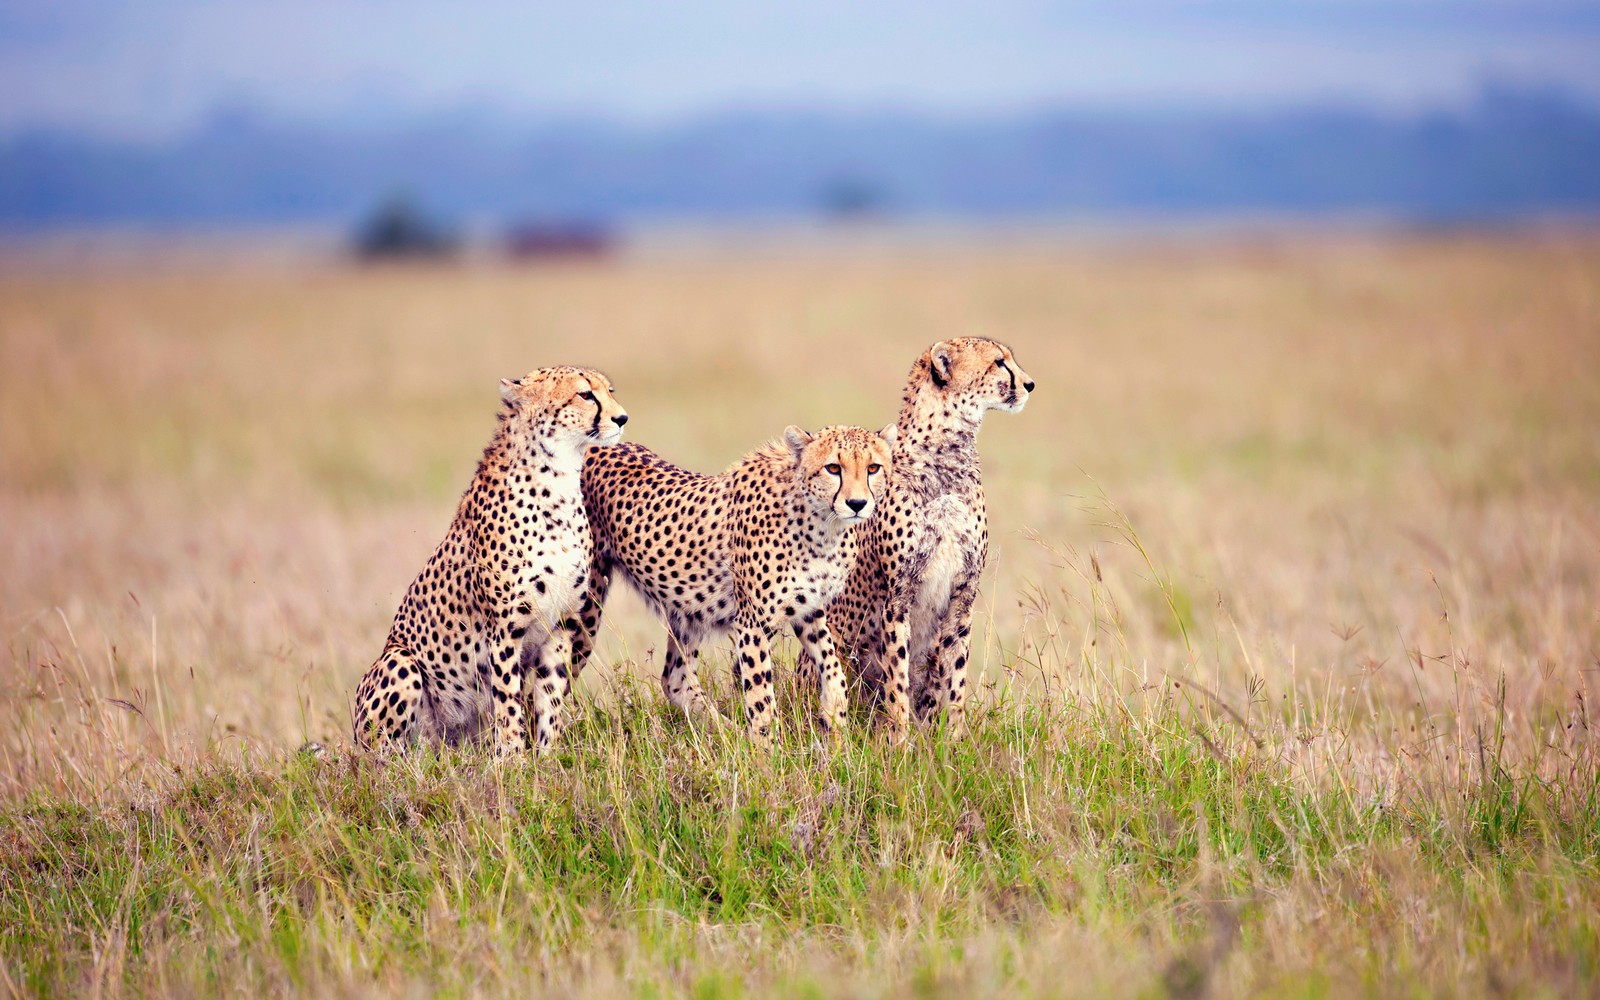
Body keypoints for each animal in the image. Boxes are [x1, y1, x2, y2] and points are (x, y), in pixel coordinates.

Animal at [353, 363, 627, 752]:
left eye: (609, 391)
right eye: (585, 394)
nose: (622, 418)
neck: (558, 483)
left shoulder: (560, 625)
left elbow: (550, 697)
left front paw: (548, 755)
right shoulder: (506, 629)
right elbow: (509, 702)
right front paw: (513, 759)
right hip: (399, 662)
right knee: (384, 754)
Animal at [569, 422, 902, 742]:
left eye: (873, 468)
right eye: (833, 467)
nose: (857, 503)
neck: (821, 525)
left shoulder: (809, 609)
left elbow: (833, 667)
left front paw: (834, 719)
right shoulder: (753, 623)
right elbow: (761, 699)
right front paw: (767, 753)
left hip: (688, 609)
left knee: (675, 679)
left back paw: (727, 732)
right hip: (587, 603)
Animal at [800, 339, 1036, 736]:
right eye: (999, 363)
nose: (1030, 384)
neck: (947, 456)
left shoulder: (963, 593)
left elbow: (955, 673)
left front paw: (953, 738)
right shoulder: (898, 595)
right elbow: (898, 674)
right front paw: (899, 737)